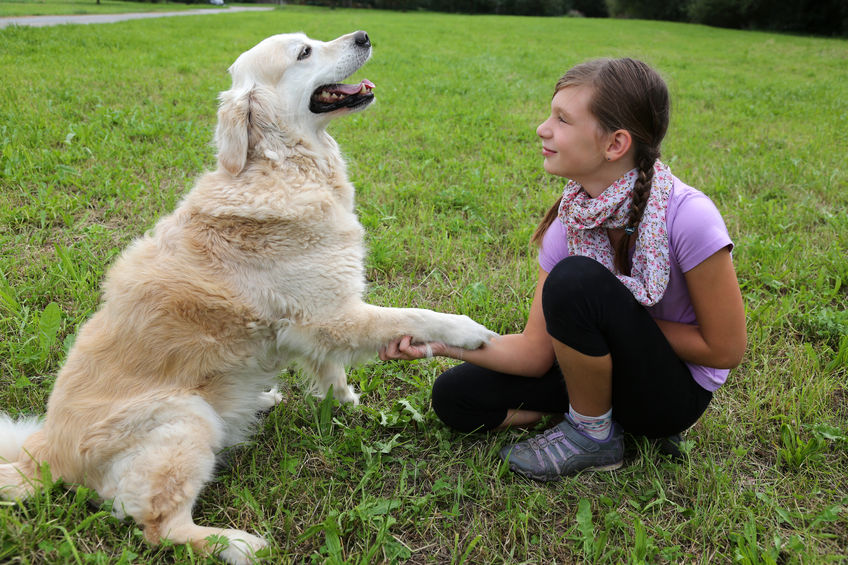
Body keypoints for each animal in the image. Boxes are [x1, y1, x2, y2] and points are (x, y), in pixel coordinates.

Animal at [0, 32, 496, 564]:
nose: (363, 36)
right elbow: (416, 315)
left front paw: (347, 402)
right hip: (185, 420)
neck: (283, 166)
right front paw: (470, 332)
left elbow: (332, 369)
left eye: (314, 39)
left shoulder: (312, 322)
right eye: (304, 53)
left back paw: (264, 400)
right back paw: (237, 543)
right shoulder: (333, 314)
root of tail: (47, 454)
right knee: (160, 526)